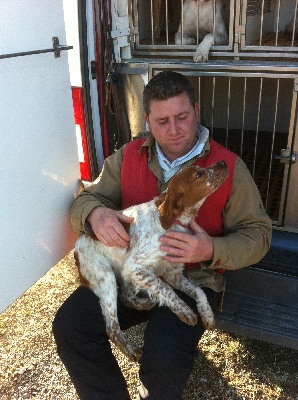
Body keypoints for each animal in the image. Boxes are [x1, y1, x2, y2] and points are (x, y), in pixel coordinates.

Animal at [74, 161, 228, 360]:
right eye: (198, 175)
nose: (223, 163)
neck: (172, 222)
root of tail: (77, 246)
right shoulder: (135, 267)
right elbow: (166, 289)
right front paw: (184, 310)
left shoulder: (172, 273)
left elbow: (199, 290)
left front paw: (207, 314)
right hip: (107, 278)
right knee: (111, 328)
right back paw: (131, 351)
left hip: (124, 275)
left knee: (126, 297)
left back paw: (146, 303)